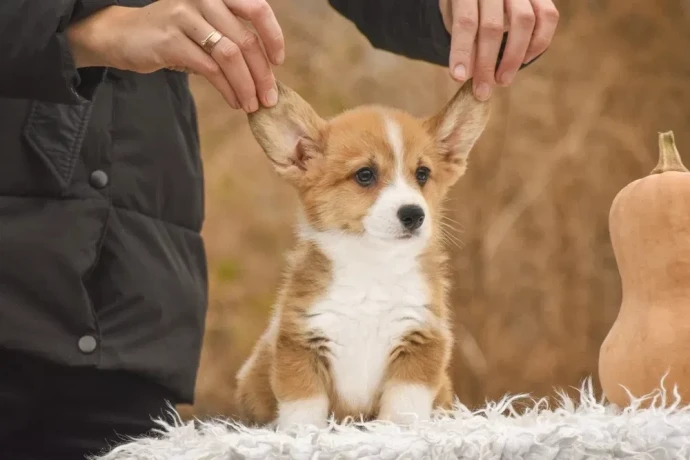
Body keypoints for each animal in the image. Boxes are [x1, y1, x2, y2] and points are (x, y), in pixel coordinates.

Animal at [235, 80, 490, 432]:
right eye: (365, 175)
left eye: (422, 174)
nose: (414, 214)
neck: (373, 266)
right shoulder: (300, 343)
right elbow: (303, 409)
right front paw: (302, 435)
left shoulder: (420, 341)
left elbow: (403, 409)